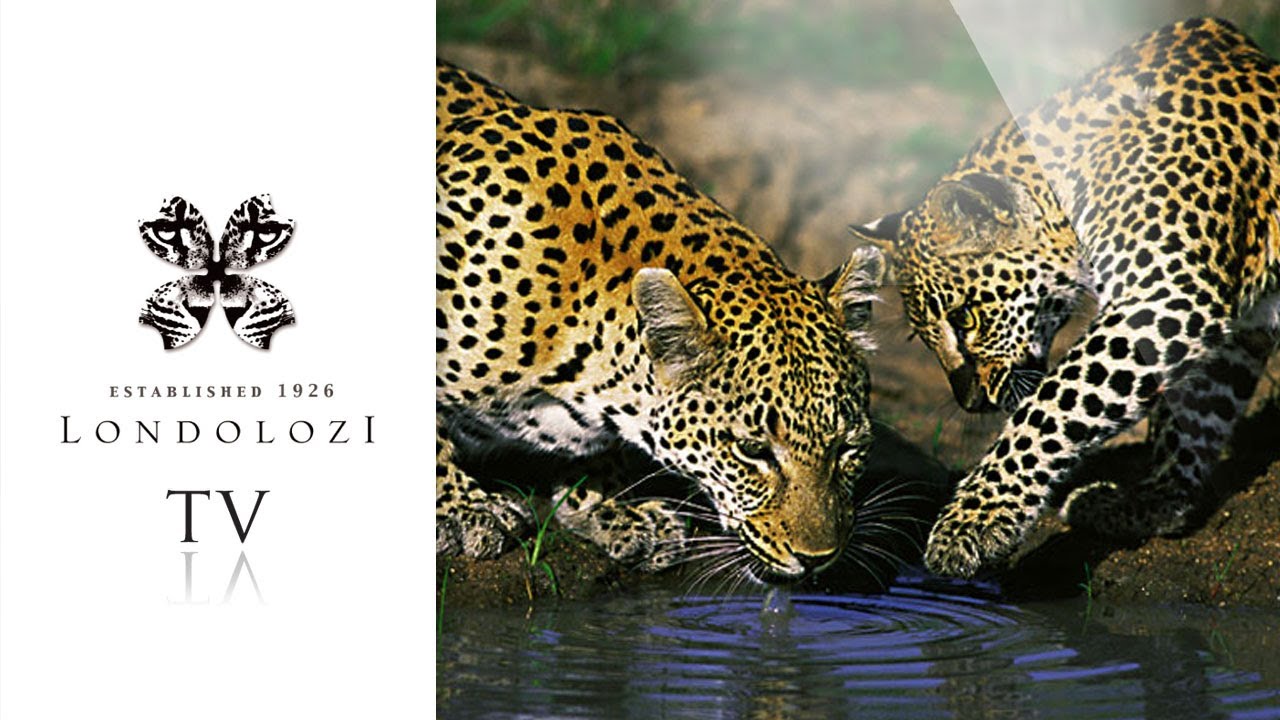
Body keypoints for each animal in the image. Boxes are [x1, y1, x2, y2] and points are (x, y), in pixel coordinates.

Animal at [848, 17, 1280, 578]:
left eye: (964, 319)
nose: (969, 403)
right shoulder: (1231, 325)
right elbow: (1196, 415)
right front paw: (1153, 501)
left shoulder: (1167, 295)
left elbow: (1051, 405)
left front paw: (971, 522)